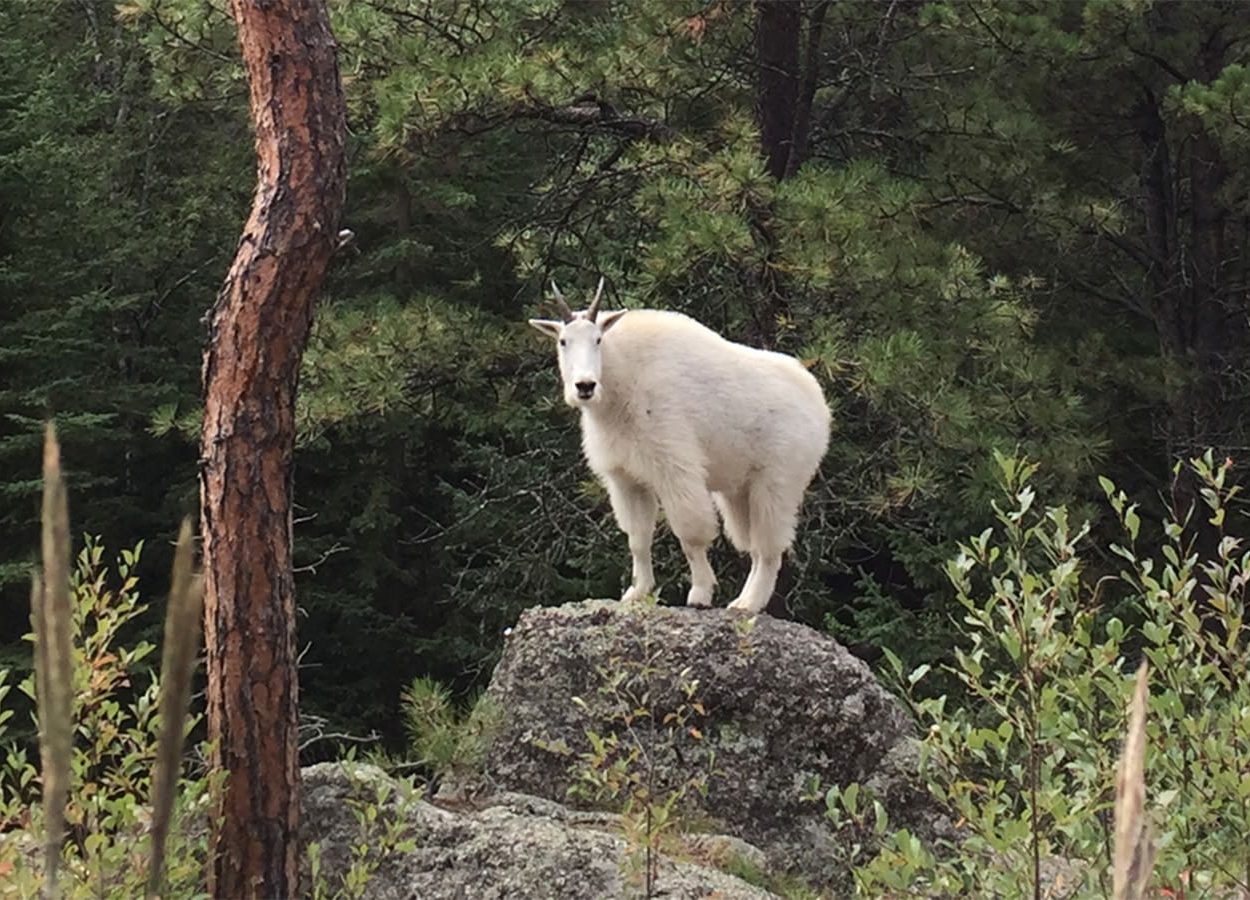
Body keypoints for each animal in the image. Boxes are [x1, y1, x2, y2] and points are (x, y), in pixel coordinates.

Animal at [529, 279, 831, 613]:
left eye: (598, 339)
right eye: (563, 342)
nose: (585, 386)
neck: (622, 383)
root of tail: (819, 404)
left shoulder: (673, 466)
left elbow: (690, 534)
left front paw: (700, 594)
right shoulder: (626, 478)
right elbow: (638, 537)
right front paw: (637, 592)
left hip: (778, 480)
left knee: (769, 548)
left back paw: (749, 604)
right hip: (740, 490)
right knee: (753, 545)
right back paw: (741, 599)